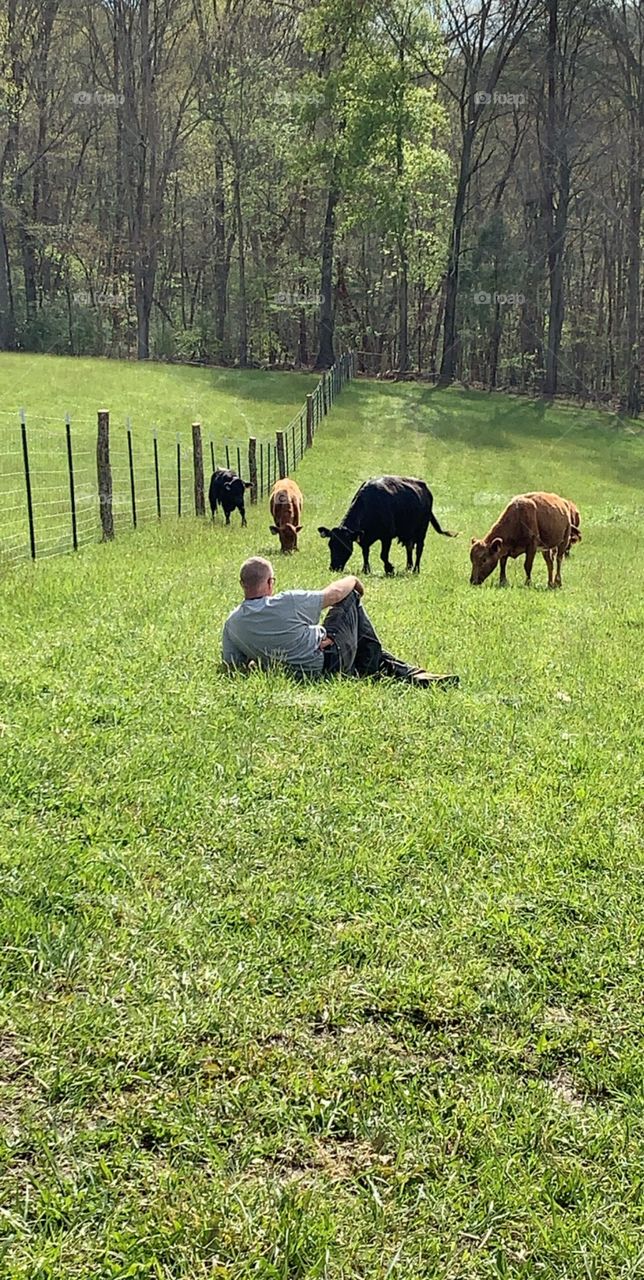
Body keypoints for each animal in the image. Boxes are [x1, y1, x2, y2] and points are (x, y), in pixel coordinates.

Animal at [318, 476, 458, 576]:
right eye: (330, 545)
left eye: (345, 546)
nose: (333, 567)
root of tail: (424, 487)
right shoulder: (364, 538)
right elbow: (365, 553)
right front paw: (366, 569)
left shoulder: (387, 536)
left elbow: (383, 555)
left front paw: (389, 569)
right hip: (409, 532)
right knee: (409, 547)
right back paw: (408, 567)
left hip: (422, 530)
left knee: (419, 549)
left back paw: (415, 570)